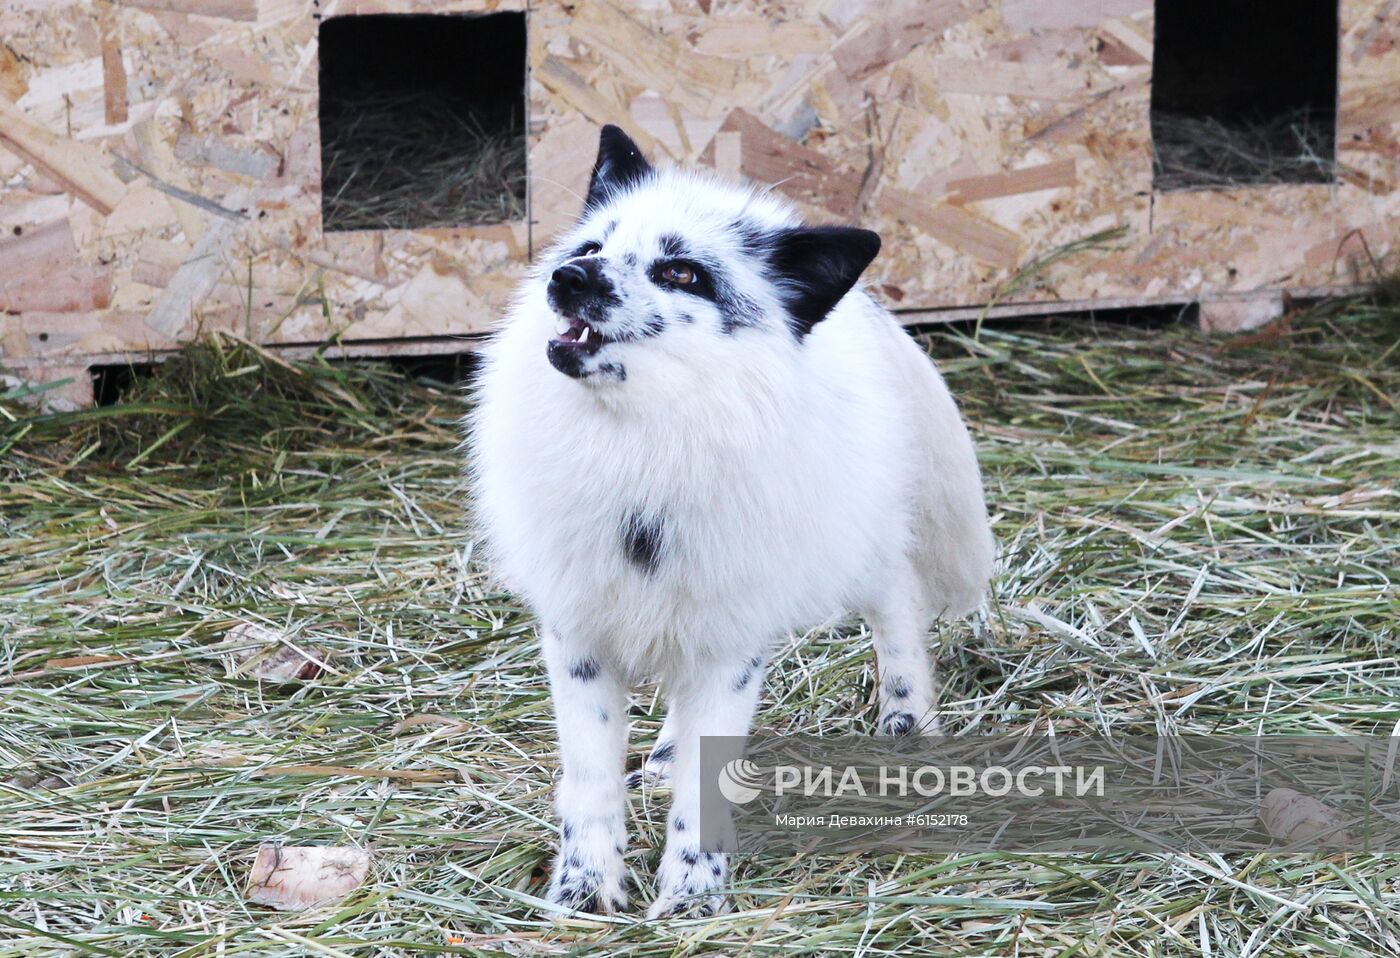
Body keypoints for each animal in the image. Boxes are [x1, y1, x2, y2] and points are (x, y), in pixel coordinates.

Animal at [464, 127, 991, 918]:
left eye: (681, 272)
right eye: (592, 245)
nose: (567, 276)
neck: (645, 457)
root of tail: (865, 307)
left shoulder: (733, 644)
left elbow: (701, 795)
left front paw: (691, 898)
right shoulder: (578, 636)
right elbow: (589, 782)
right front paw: (583, 891)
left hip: (858, 547)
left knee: (899, 603)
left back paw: (906, 723)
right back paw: (661, 757)